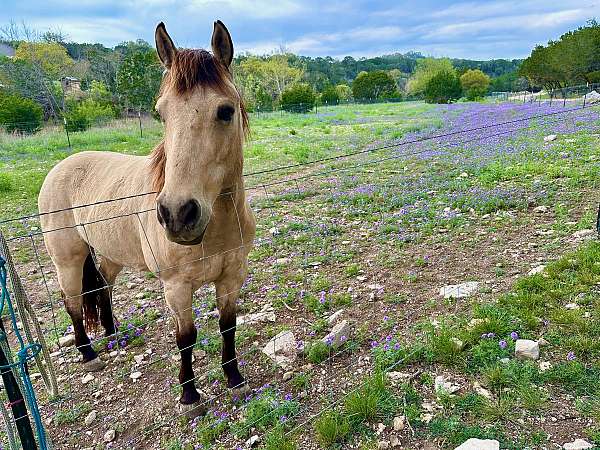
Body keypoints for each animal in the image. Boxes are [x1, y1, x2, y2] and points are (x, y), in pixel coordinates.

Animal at [39, 20, 255, 414]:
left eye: (225, 110)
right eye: (162, 113)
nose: (177, 214)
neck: (216, 228)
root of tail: (61, 166)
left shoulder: (233, 275)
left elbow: (228, 325)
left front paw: (234, 377)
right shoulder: (176, 287)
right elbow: (186, 337)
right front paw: (189, 394)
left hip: (109, 255)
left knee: (103, 288)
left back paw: (113, 335)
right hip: (68, 259)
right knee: (72, 301)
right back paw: (89, 353)